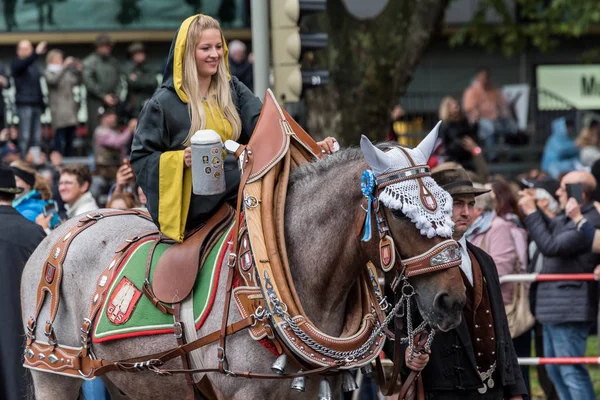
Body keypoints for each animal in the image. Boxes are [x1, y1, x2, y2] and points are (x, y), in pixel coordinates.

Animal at [21, 139, 466, 398]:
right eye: (403, 212)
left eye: (446, 206)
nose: (453, 301)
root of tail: (63, 229)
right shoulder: (241, 393)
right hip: (52, 371)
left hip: (132, 379)